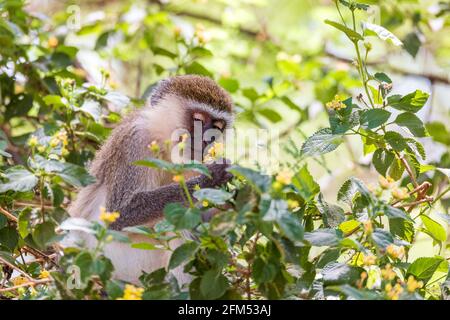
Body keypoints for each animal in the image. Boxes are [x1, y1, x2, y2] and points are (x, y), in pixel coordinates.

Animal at [65, 75, 234, 284]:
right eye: (198, 120)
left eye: (217, 128)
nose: (206, 141)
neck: (163, 145)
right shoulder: (135, 141)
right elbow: (119, 214)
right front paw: (212, 177)